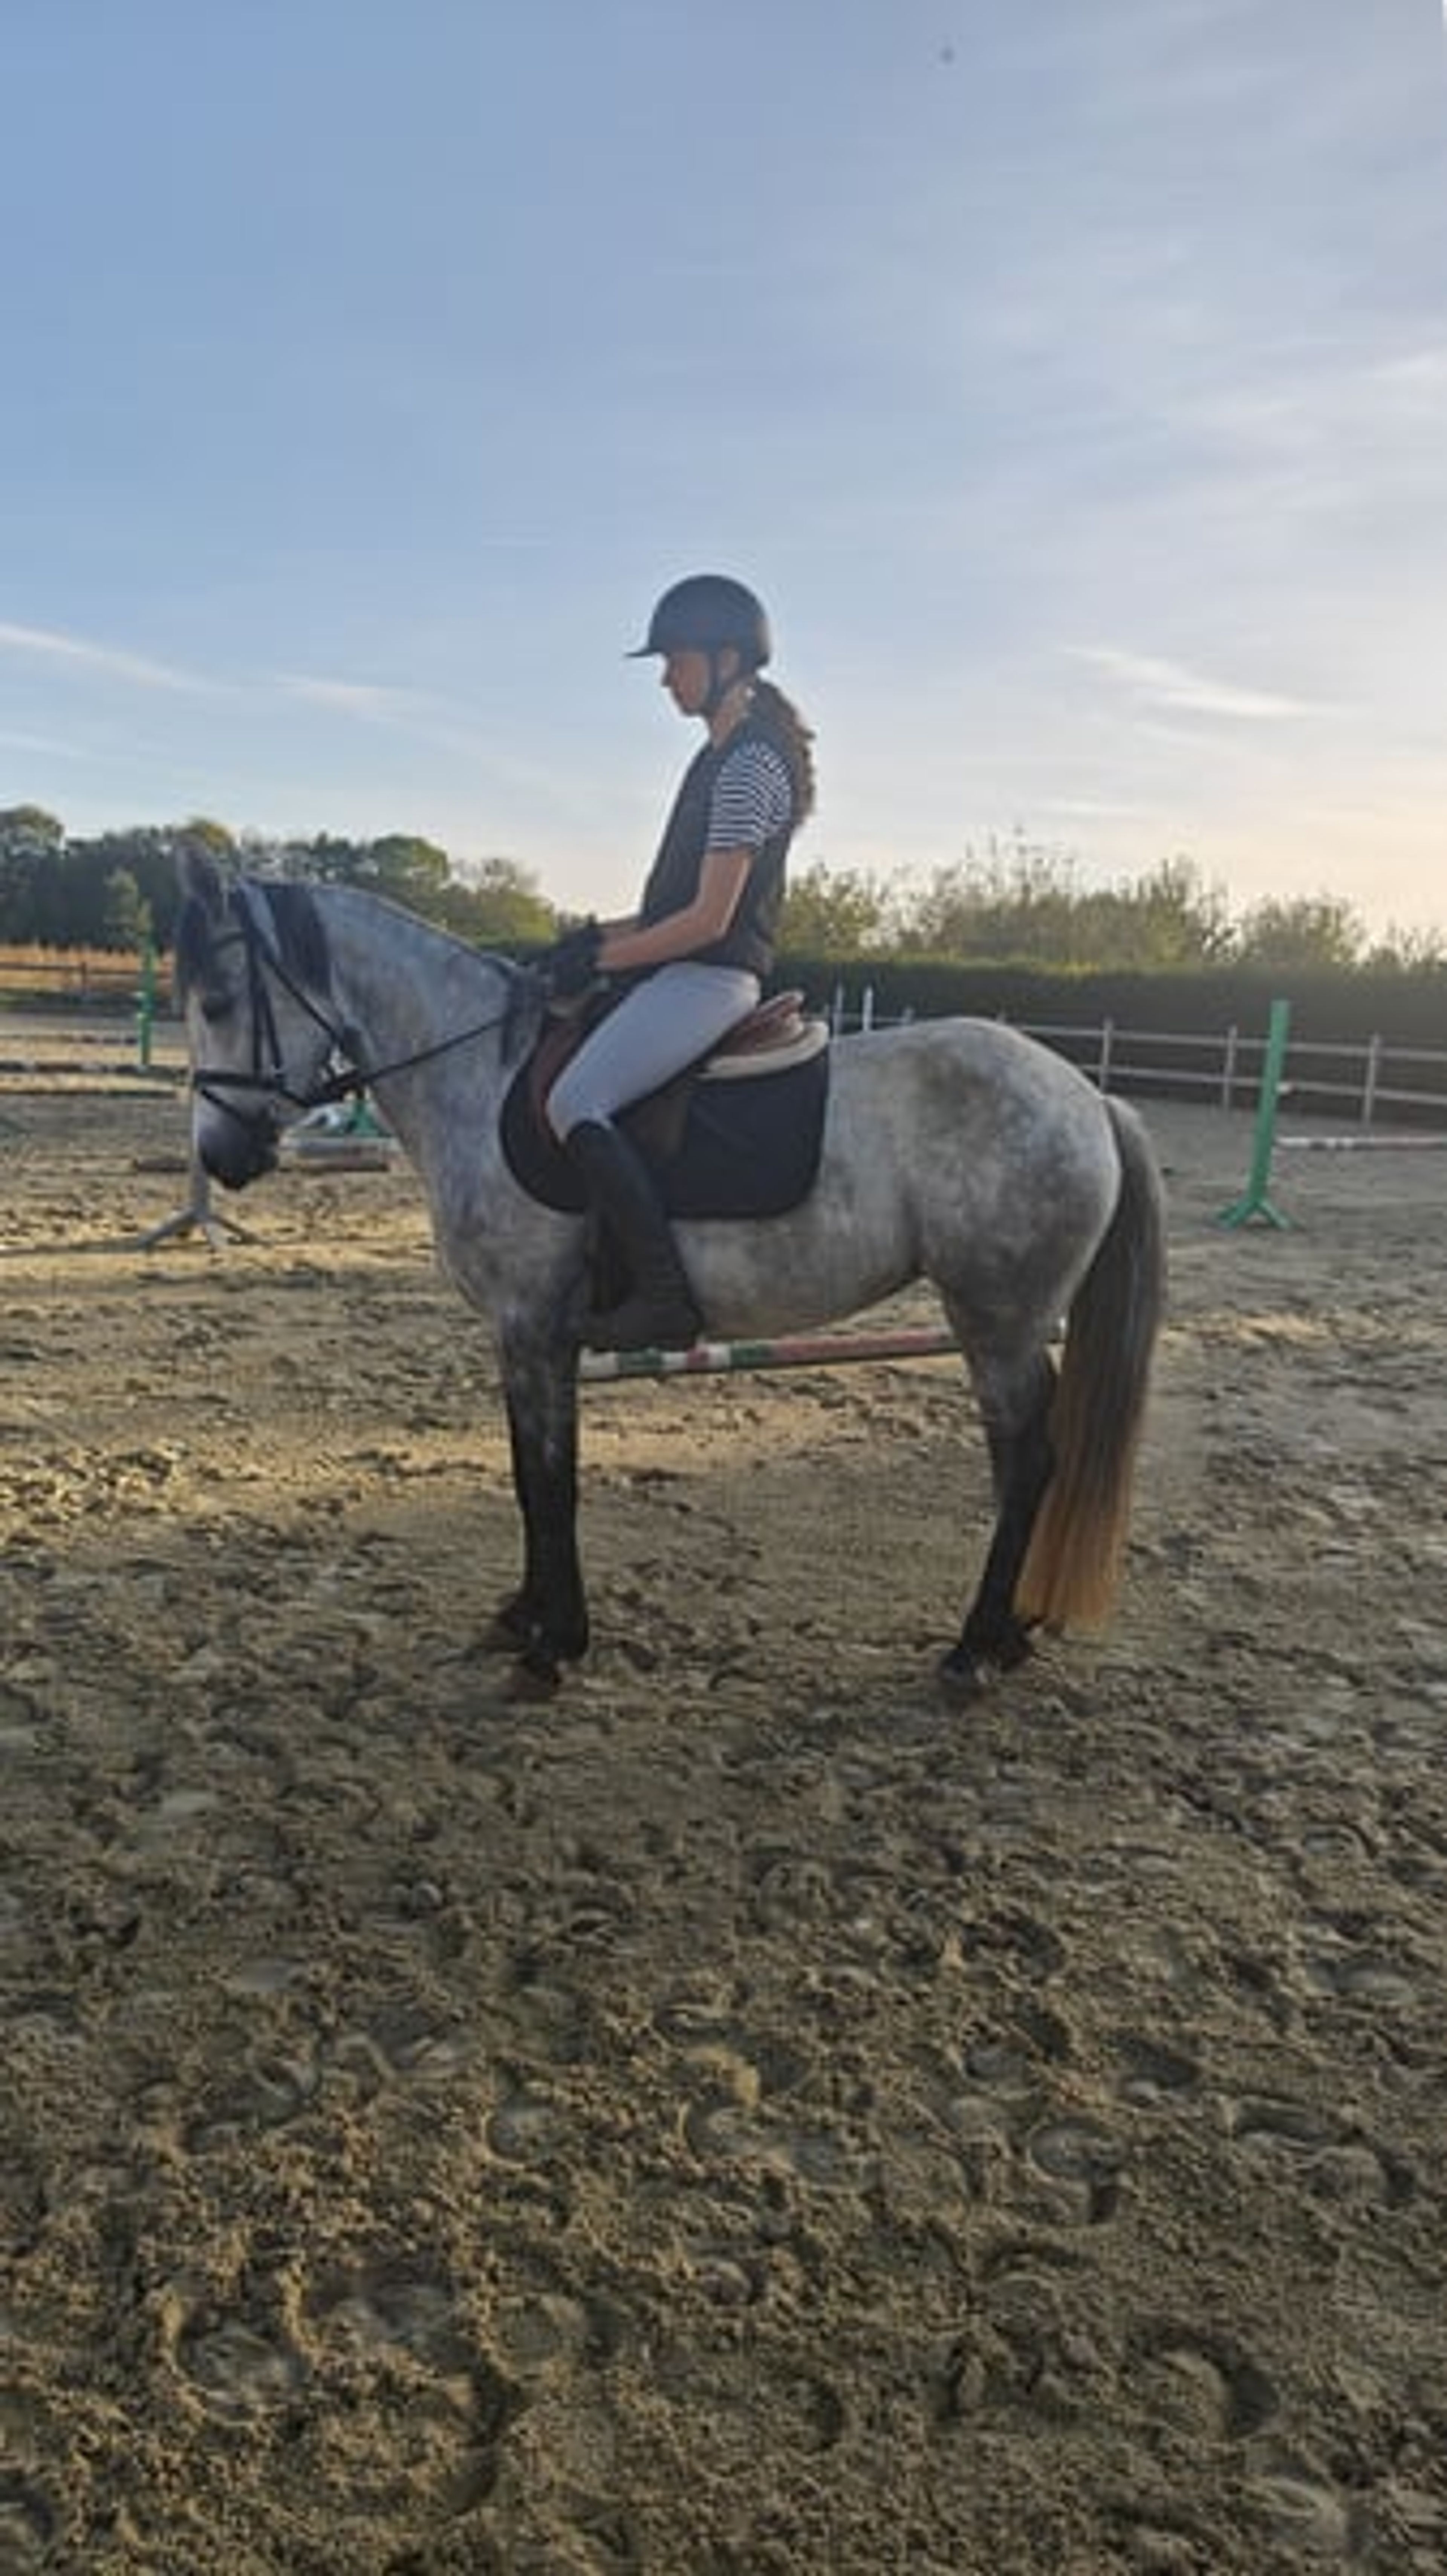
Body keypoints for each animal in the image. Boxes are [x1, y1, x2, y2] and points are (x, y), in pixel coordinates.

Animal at [173, 854, 1166, 1702]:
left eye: (219, 999)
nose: (219, 1157)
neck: (476, 1074)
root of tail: (1089, 1096)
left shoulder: (534, 1325)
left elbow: (552, 1481)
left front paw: (554, 1646)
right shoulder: (520, 1335)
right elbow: (528, 1473)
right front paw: (522, 1617)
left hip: (994, 1320)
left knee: (1026, 1461)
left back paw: (973, 1650)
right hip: (1006, 1322)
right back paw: (1010, 1634)